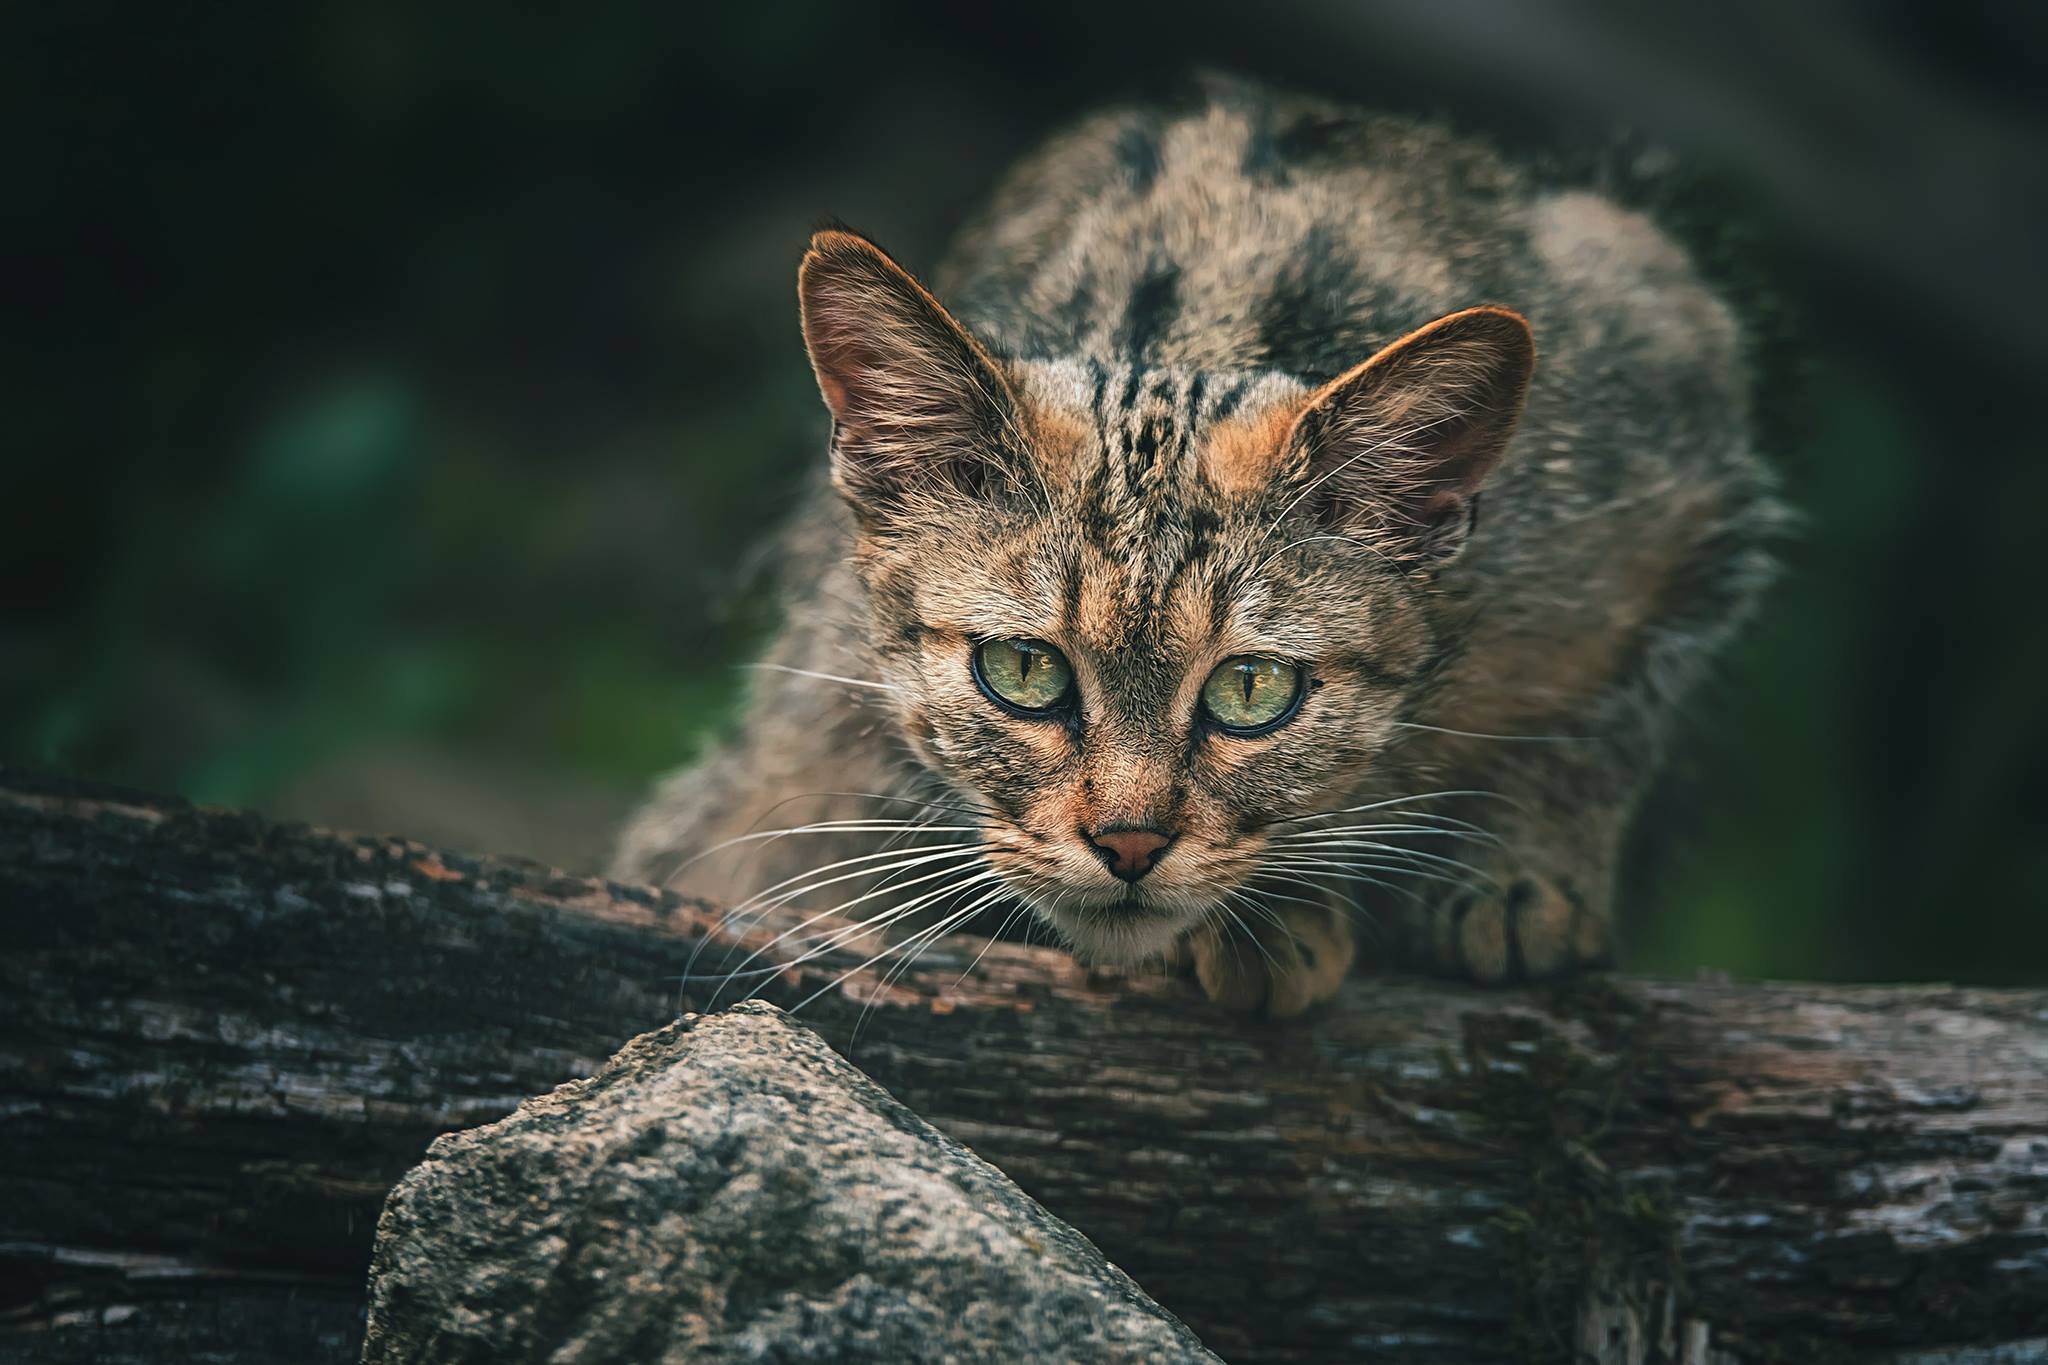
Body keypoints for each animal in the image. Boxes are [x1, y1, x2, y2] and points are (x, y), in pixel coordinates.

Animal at [606, 74, 1777, 1015]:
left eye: (1252, 690)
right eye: (1021, 670)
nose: (1127, 845)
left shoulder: (1683, 402)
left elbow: (1614, 713)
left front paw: (1520, 871)